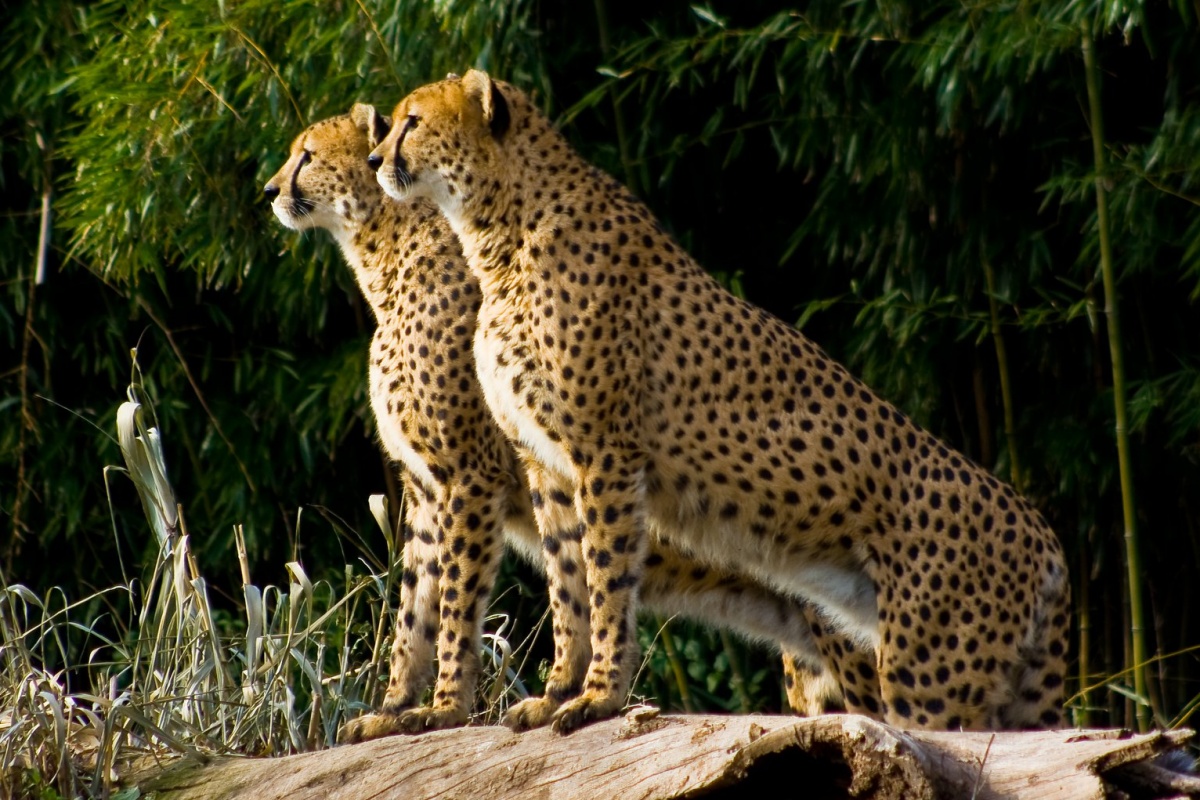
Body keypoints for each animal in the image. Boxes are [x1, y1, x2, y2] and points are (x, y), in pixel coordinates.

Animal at [262, 104, 868, 738]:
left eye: (307, 154)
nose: (270, 190)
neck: (387, 259)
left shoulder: (468, 477)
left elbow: (455, 600)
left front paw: (444, 708)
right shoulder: (427, 489)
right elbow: (414, 609)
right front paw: (392, 709)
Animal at [369, 71, 1075, 734]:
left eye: (411, 121)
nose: (375, 159)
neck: (498, 234)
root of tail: (1044, 535)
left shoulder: (605, 455)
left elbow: (605, 580)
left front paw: (598, 698)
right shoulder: (545, 465)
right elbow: (567, 583)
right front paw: (557, 693)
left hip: (928, 675)